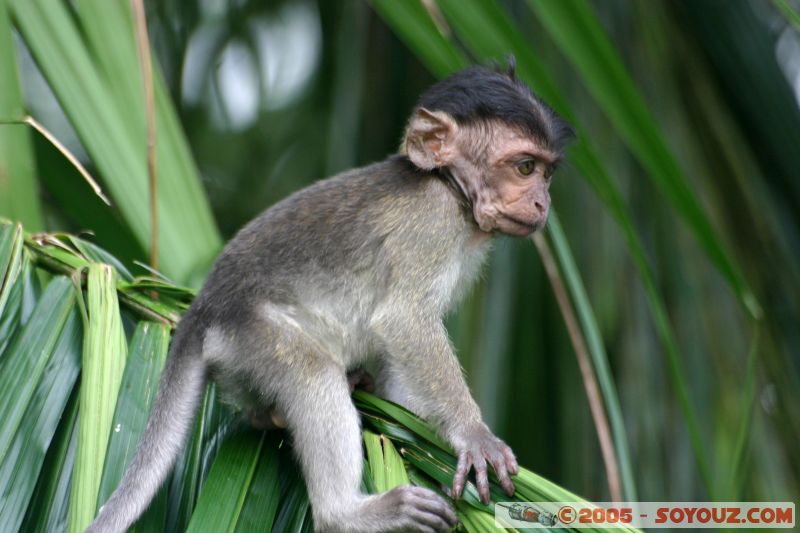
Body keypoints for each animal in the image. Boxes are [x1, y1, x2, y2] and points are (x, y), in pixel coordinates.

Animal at [87, 60, 572, 533]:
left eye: (547, 173)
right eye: (524, 168)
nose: (543, 204)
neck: (449, 187)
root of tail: (203, 310)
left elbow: (398, 357)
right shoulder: (432, 223)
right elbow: (404, 321)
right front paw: (473, 434)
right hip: (252, 333)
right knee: (310, 371)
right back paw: (347, 514)